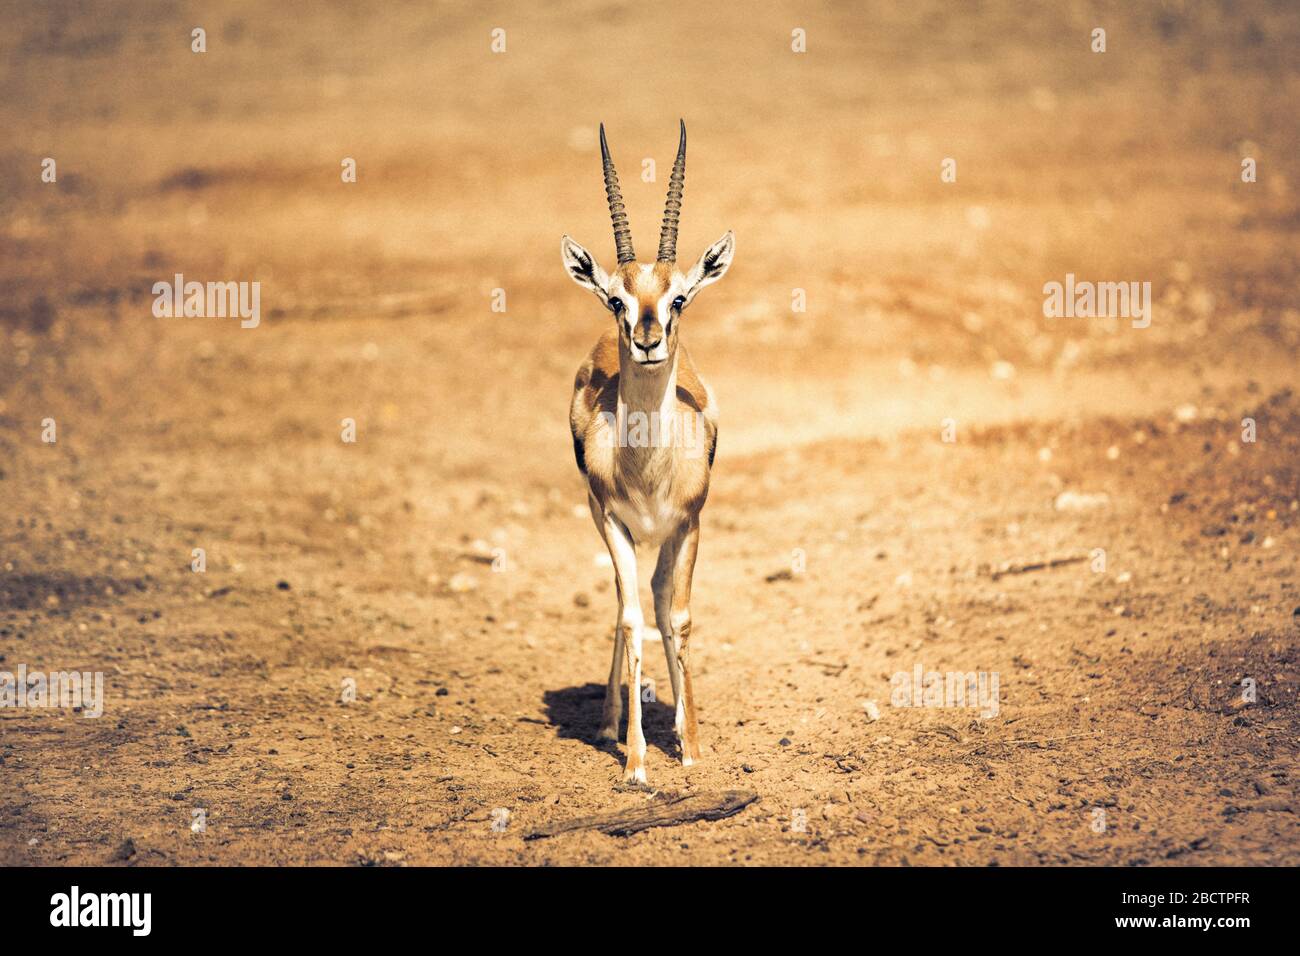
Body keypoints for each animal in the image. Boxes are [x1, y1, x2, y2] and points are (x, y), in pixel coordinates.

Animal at [563, 121, 734, 783]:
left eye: (679, 297)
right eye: (616, 299)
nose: (648, 338)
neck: (649, 471)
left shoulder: (689, 524)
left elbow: (676, 617)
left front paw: (690, 748)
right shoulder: (614, 521)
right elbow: (634, 618)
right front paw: (635, 761)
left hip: (663, 539)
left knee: (661, 603)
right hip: (616, 530)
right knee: (627, 606)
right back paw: (610, 725)